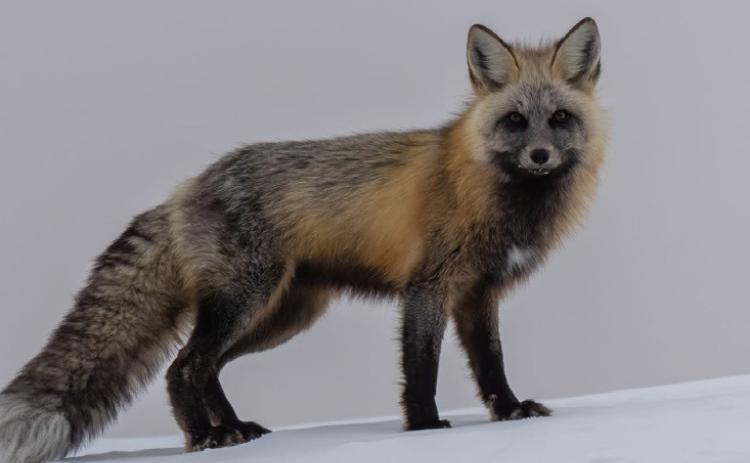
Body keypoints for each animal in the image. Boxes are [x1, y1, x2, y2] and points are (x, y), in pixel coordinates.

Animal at [0, 17, 606, 463]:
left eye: (559, 118)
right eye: (514, 121)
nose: (540, 155)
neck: (494, 193)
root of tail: (184, 189)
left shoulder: (480, 293)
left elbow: (491, 365)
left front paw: (509, 411)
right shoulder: (428, 287)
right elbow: (421, 368)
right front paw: (425, 428)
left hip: (283, 315)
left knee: (208, 367)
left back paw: (233, 427)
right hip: (246, 301)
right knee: (183, 367)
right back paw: (205, 439)